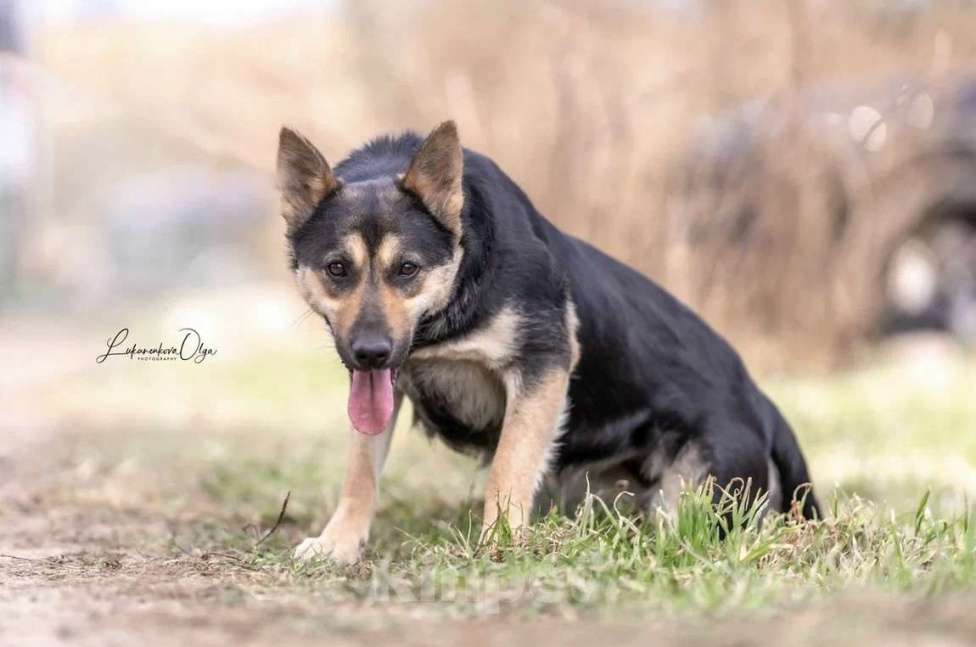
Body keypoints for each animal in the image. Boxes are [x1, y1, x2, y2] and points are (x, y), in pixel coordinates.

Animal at [278, 123, 820, 568]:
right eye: (336, 269)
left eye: (407, 269)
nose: (370, 351)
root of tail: (760, 401)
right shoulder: (374, 386)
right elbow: (360, 473)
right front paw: (338, 544)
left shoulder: (542, 364)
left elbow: (508, 467)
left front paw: (499, 543)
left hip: (692, 494)